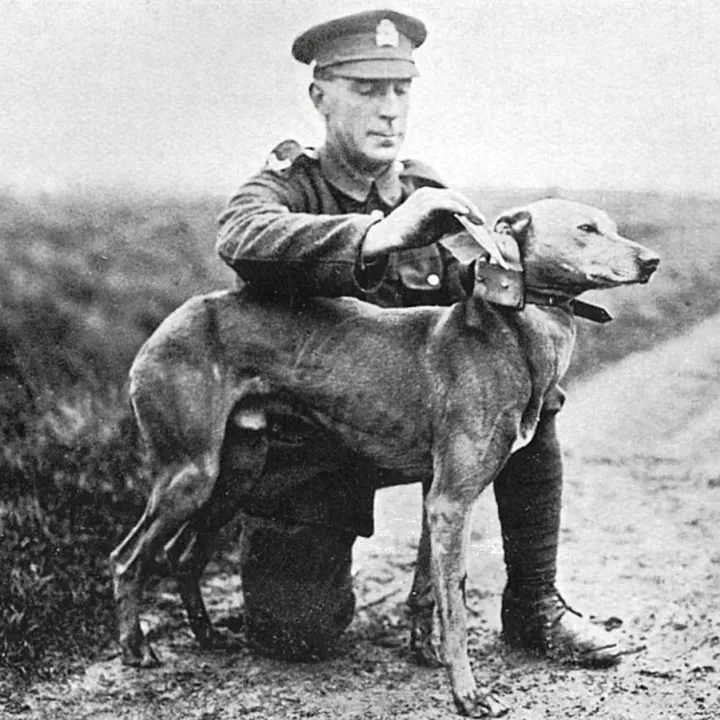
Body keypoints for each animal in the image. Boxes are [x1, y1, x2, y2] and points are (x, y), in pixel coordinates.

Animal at [111, 200, 660, 716]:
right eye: (586, 228)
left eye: (611, 225)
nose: (652, 261)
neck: (508, 335)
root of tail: (169, 322)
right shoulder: (451, 500)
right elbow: (455, 606)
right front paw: (468, 695)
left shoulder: (436, 497)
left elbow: (426, 589)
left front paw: (426, 652)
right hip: (191, 474)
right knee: (126, 558)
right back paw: (136, 648)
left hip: (235, 471)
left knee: (183, 555)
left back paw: (206, 634)